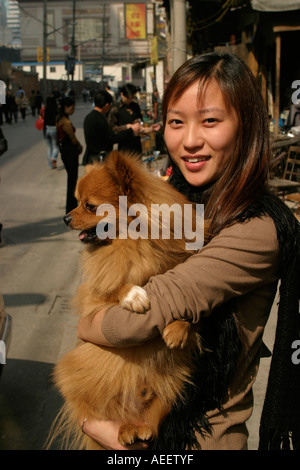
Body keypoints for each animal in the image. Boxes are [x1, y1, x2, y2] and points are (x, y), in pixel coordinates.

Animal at [51, 151, 206, 452]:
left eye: (89, 206)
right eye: (75, 201)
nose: (65, 217)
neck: (133, 243)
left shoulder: (179, 272)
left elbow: (184, 301)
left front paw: (178, 328)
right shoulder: (94, 297)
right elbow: (115, 285)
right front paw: (134, 295)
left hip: (174, 383)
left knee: (153, 414)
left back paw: (141, 428)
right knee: (104, 411)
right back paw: (125, 431)